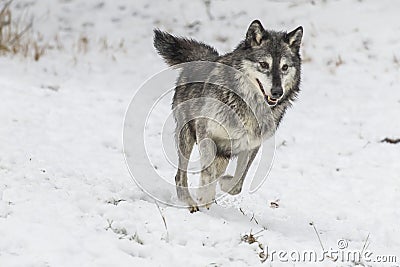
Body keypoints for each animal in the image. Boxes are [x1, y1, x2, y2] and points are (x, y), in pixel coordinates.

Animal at [153, 20, 304, 214]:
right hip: (187, 137)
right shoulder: (206, 133)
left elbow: (236, 184)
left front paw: (221, 186)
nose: (277, 92)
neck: (248, 106)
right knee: (180, 176)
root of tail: (203, 57)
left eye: (284, 67)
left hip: (223, 152)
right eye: (264, 64)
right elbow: (208, 174)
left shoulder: (251, 145)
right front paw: (204, 196)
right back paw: (191, 203)